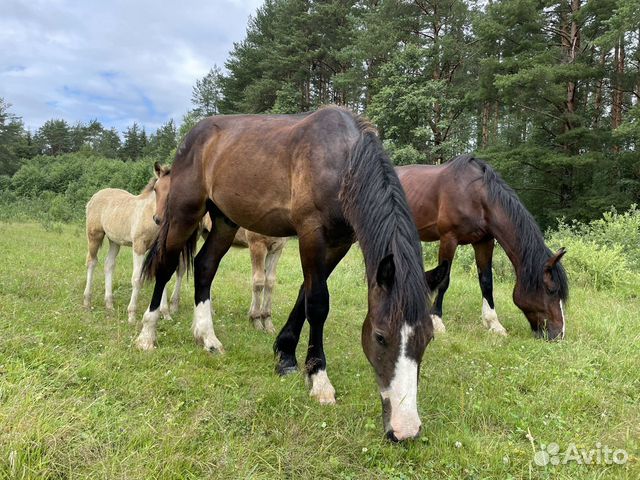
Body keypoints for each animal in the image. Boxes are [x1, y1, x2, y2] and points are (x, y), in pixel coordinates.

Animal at [82, 163, 182, 324]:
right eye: (156, 189)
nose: (158, 219)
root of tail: (94, 196)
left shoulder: (160, 249)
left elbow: (162, 277)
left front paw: (166, 314)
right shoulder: (139, 245)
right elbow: (137, 279)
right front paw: (132, 315)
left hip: (114, 241)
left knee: (109, 264)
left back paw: (109, 304)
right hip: (94, 235)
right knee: (91, 262)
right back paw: (87, 302)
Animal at [139, 107, 436, 440]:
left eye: (428, 337)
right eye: (380, 336)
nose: (405, 429)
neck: (343, 161)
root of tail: (192, 136)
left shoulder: (339, 243)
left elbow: (304, 295)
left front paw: (285, 355)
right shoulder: (311, 233)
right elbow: (317, 303)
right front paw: (319, 380)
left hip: (224, 220)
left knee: (205, 266)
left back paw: (208, 337)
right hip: (184, 212)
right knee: (165, 266)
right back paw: (147, 334)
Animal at [398, 156, 568, 340]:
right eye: (551, 290)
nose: (559, 334)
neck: (477, 197)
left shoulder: (484, 241)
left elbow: (486, 282)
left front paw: (494, 324)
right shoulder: (448, 239)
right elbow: (444, 281)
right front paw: (437, 321)